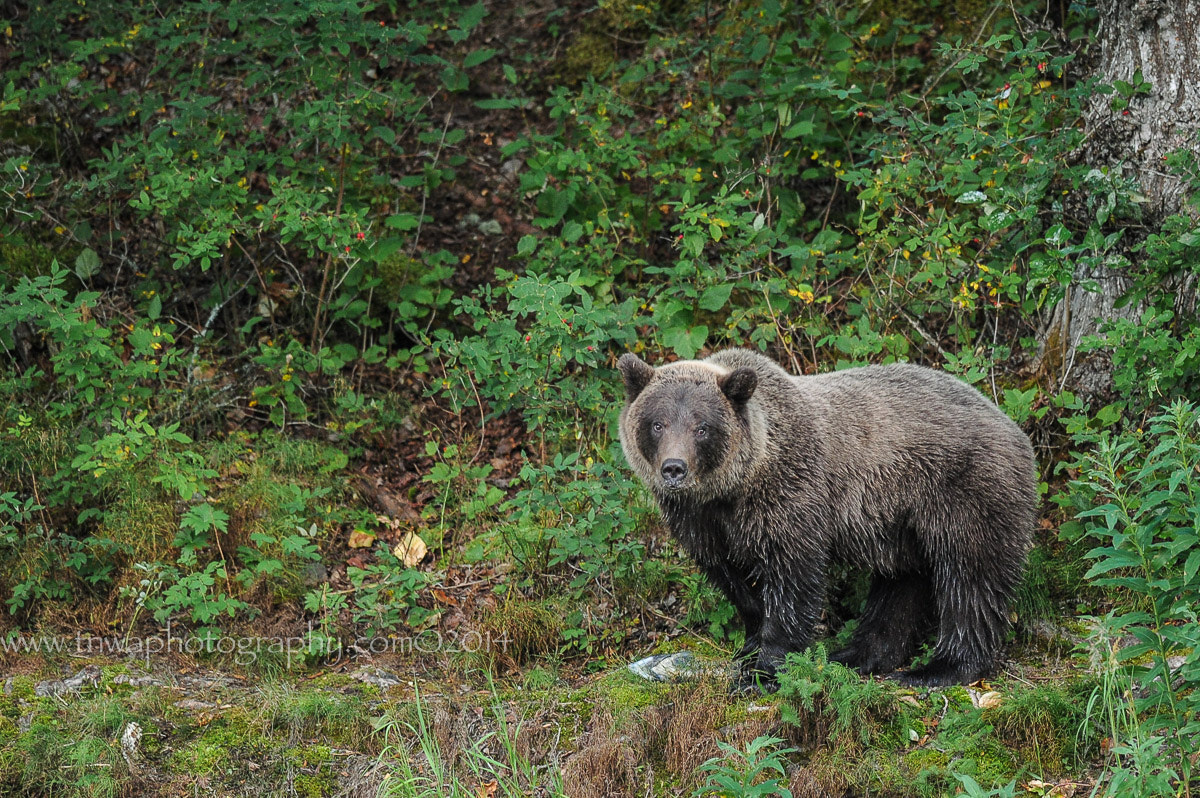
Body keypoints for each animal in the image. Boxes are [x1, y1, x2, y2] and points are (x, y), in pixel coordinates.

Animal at [614, 348, 1036, 686]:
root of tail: (1013, 426)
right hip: (900, 521)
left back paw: (940, 667)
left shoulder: (791, 498)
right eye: (657, 423)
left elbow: (793, 580)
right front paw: (750, 646)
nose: (674, 469)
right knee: (901, 583)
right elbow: (735, 581)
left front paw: (766, 669)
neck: (731, 490)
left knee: (969, 576)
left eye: (702, 427)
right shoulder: (702, 523)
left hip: (961, 491)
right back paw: (857, 655)